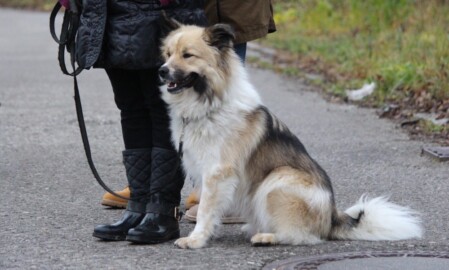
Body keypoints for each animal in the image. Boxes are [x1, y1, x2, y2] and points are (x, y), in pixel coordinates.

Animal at [156, 20, 422, 249]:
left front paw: (196, 239)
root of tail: (331, 218)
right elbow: (208, 208)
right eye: (168, 54)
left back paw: (266, 236)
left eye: (187, 55)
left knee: (301, 236)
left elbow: (205, 210)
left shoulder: (217, 172)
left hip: (277, 180)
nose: (161, 71)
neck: (210, 104)